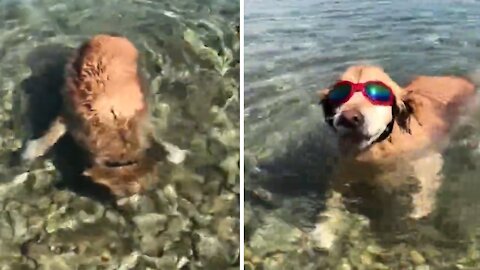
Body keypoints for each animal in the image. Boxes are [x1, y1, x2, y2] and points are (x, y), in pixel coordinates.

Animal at [22, 34, 186, 197]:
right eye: (116, 194)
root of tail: (108, 37)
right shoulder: (71, 117)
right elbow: (52, 134)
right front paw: (33, 150)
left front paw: (173, 152)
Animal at [314, 64, 474, 250]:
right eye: (339, 94)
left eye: (377, 95)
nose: (349, 118)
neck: (378, 148)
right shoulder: (344, 172)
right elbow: (332, 201)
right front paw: (324, 230)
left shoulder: (427, 159)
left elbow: (424, 189)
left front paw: (418, 210)